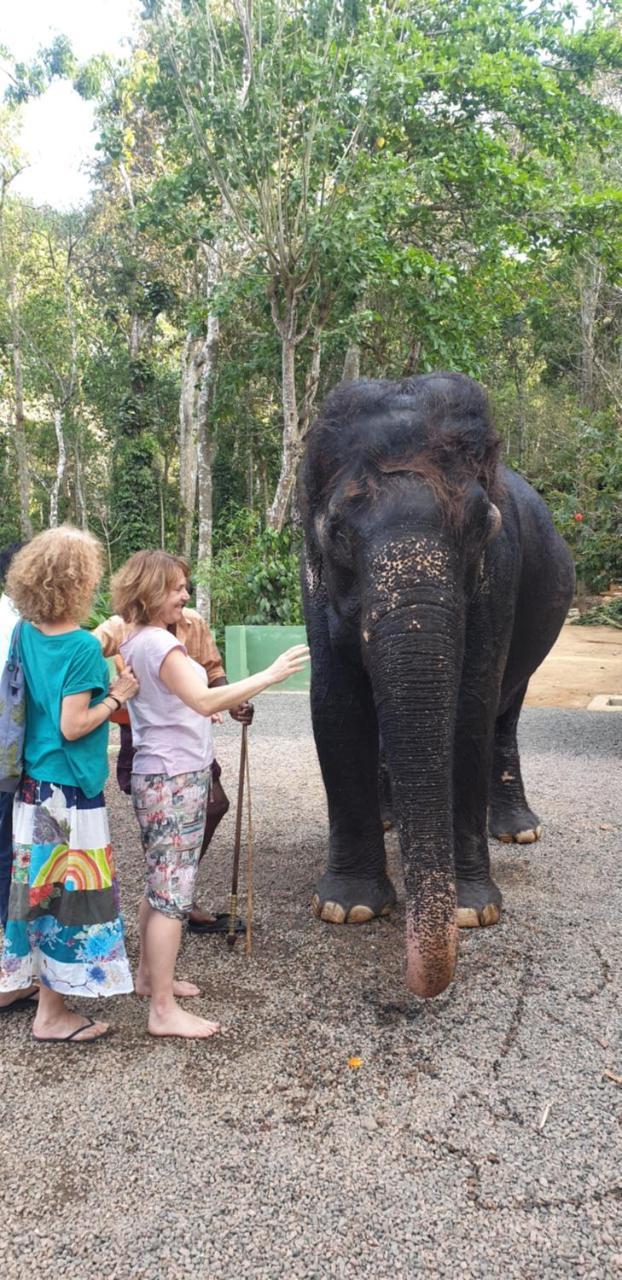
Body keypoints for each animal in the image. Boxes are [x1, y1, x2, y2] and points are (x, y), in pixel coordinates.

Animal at [299, 371, 575, 998]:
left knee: (504, 710)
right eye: (338, 532)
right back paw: (390, 819)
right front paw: (348, 909)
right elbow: (336, 704)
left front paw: (474, 911)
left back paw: (518, 831)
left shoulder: (500, 570)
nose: (419, 983)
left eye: (481, 526)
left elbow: (469, 710)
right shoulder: (311, 575)